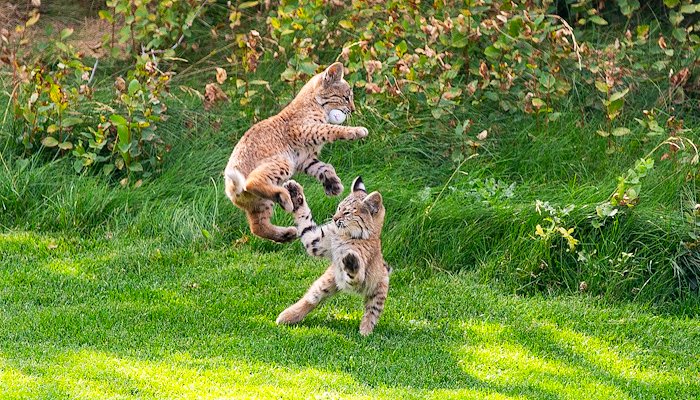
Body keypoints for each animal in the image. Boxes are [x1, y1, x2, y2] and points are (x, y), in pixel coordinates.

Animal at [226, 63, 370, 244]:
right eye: (345, 97)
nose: (353, 109)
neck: (315, 103)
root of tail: (230, 187)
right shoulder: (305, 129)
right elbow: (331, 128)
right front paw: (356, 131)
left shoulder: (304, 158)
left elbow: (323, 167)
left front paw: (333, 185)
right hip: (283, 162)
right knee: (252, 181)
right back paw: (285, 199)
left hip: (260, 202)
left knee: (257, 227)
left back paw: (287, 233)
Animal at [276, 177, 392, 336]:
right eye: (339, 208)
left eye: (347, 213)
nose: (335, 219)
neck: (346, 235)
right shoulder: (316, 242)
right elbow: (305, 223)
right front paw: (294, 192)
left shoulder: (359, 276)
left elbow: (355, 272)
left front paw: (350, 259)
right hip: (327, 281)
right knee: (312, 299)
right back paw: (287, 316)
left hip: (379, 289)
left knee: (372, 311)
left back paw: (365, 331)